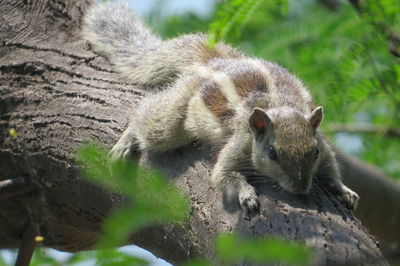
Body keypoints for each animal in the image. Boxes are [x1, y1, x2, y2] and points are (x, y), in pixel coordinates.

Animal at [82, 1, 360, 214]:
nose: (300, 188)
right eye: (272, 152)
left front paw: (344, 189)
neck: (280, 106)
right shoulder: (240, 142)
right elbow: (223, 175)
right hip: (174, 115)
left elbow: (331, 168)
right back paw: (128, 139)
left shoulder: (322, 143)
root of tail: (214, 60)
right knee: (150, 117)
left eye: (313, 152)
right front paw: (246, 194)